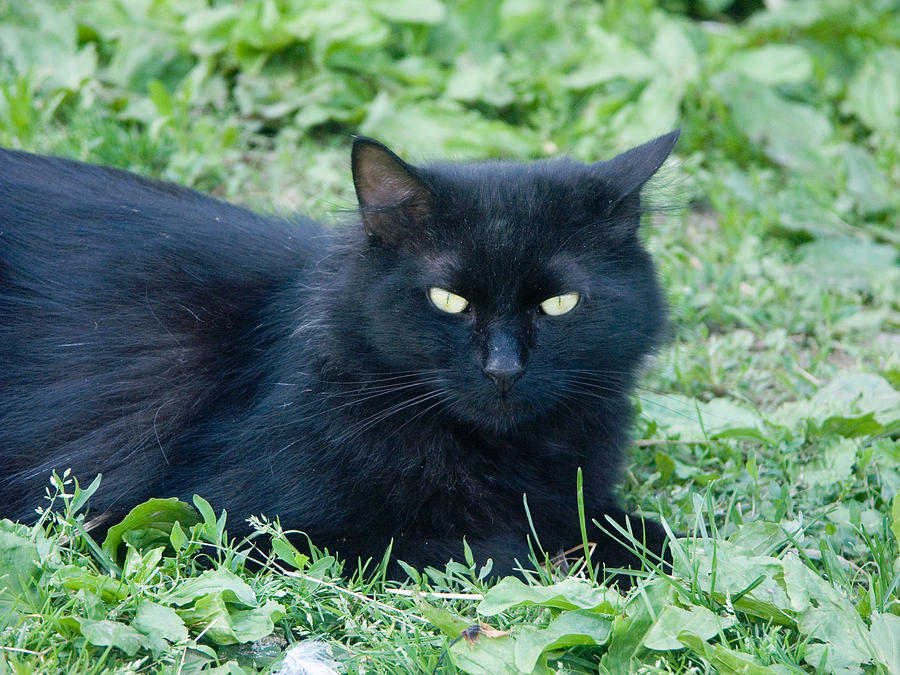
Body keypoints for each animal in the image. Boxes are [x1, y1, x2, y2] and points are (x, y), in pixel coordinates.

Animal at [0, 133, 676, 580]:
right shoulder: (222, 521)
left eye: (560, 304)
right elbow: (491, 550)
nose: (503, 370)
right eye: (448, 300)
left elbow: (643, 532)